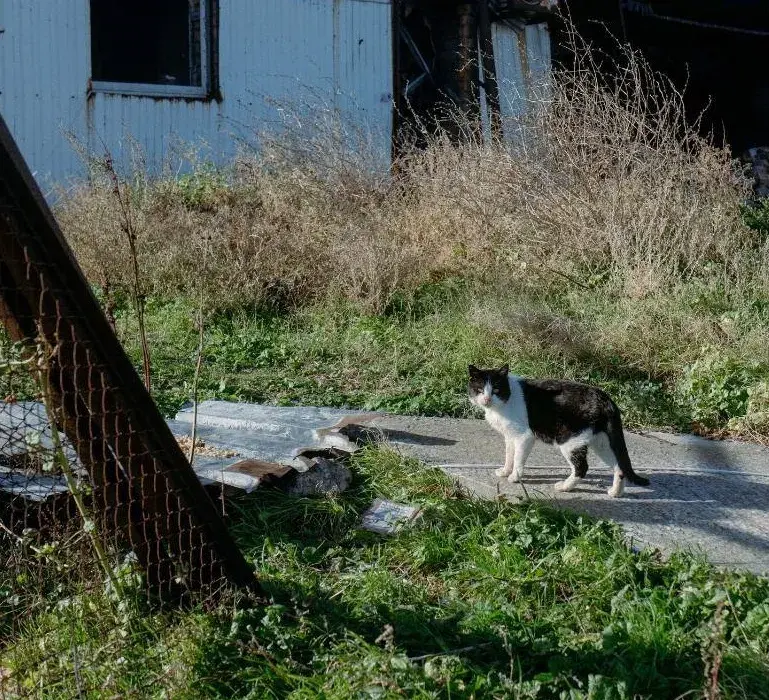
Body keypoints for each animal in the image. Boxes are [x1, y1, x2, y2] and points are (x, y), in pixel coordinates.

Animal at [468, 366, 648, 498]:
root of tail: (605, 398)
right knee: (619, 467)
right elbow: (509, 455)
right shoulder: (510, 436)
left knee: (582, 468)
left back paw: (564, 487)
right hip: (602, 443)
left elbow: (518, 459)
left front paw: (514, 477)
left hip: (569, 441)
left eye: (496, 390)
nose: (487, 399)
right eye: (479, 390)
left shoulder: (524, 437)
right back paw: (615, 493)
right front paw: (506, 471)